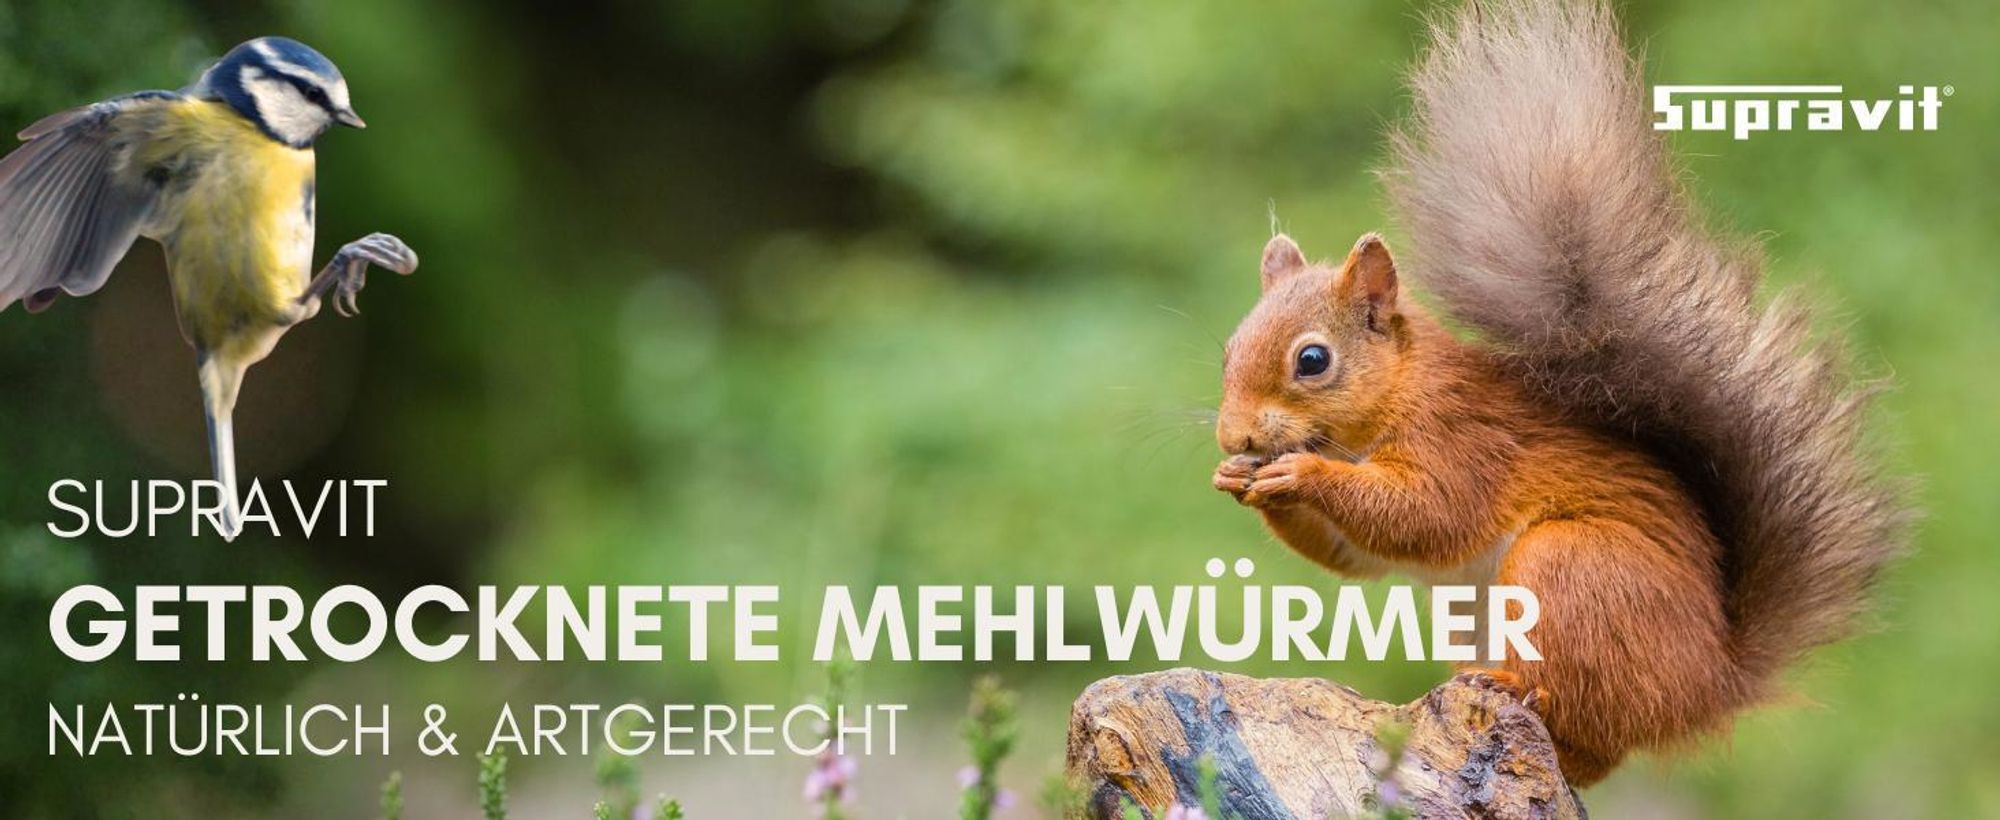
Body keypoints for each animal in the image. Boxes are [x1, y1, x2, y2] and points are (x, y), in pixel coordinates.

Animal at [1210, 0, 1909, 787]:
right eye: (1229, 350)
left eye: (1313, 360)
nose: (1234, 436)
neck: (1389, 402)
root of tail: (1710, 682)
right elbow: (1353, 555)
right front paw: (1238, 477)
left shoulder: (1464, 440)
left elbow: (1426, 515)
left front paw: (1301, 472)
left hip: (1574, 571)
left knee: (1588, 721)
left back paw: (1512, 687)